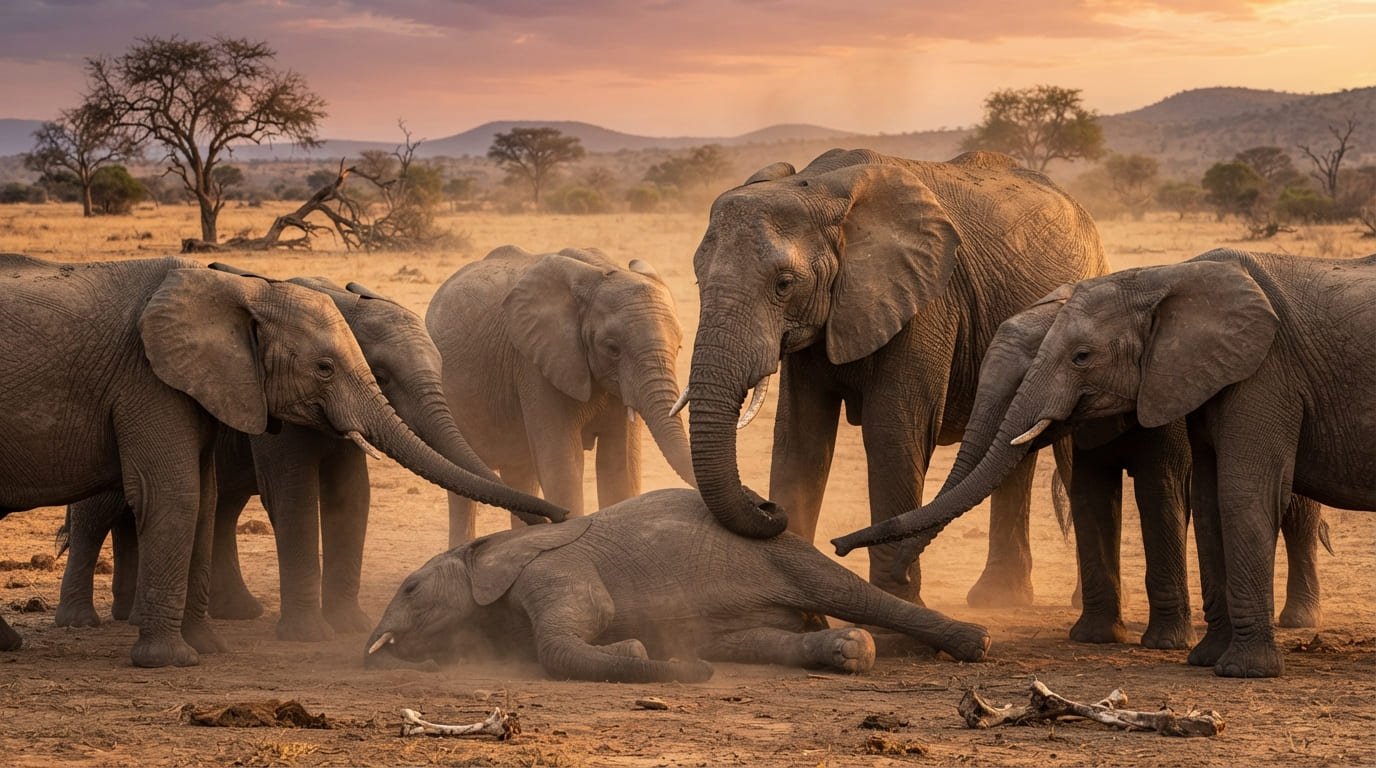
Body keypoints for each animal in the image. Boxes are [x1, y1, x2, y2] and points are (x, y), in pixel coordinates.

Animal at [0, 255, 564, 667]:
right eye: (378, 375)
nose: (558, 515)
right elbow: (290, 497)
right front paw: (308, 637)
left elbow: (349, 497)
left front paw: (349, 627)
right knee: (101, 514)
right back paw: (83, 624)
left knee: (215, 509)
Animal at [364, 488, 991, 682]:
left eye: (411, 588)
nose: (380, 645)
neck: (493, 548)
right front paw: (644, 650)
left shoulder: (554, 568)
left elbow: (567, 637)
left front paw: (636, 650)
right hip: (738, 625)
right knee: (757, 641)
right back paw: (848, 652)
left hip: (781, 551)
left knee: (844, 592)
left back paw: (974, 642)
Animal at [427, 246, 696, 546]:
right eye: (612, 348)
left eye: (679, 346)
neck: (601, 271)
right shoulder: (535, 364)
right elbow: (564, 465)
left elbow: (619, 465)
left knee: (520, 472)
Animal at [678, 148, 1107, 603]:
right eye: (698, 279)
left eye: (784, 284)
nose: (766, 506)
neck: (825, 189)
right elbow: (801, 435)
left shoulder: (927, 300)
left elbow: (893, 433)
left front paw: (897, 608)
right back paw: (998, 600)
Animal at [837, 249, 1374, 677]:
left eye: (1080, 357)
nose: (839, 544)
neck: (1160, 280)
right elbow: (1100, 496)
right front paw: (1103, 640)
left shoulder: (1240, 380)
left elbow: (1185, 492)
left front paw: (1213, 662)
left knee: (1295, 514)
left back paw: (1298, 622)